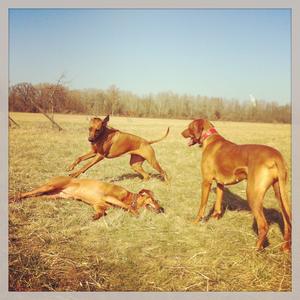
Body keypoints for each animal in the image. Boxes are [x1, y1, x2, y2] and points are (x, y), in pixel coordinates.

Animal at [9, 176, 165, 220]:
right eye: (154, 200)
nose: (162, 209)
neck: (128, 196)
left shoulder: (98, 204)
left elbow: (102, 211)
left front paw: (96, 216)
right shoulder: (110, 197)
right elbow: (127, 206)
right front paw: (135, 213)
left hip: (52, 196)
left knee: (34, 196)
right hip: (49, 187)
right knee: (26, 193)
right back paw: (13, 197)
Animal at [182, 118, 292, 252]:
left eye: (189, 126)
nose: (181, 133)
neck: (209, 138)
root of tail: (277, 156)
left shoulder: (206, 181)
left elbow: (202, 206)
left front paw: (196, 222)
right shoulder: (220, 183)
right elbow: (218, 205)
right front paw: (215, 219)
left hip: (252, 193)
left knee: (263, 225)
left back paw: (256, 249)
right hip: (279, 194)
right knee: (287, 223)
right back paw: (285, 248)